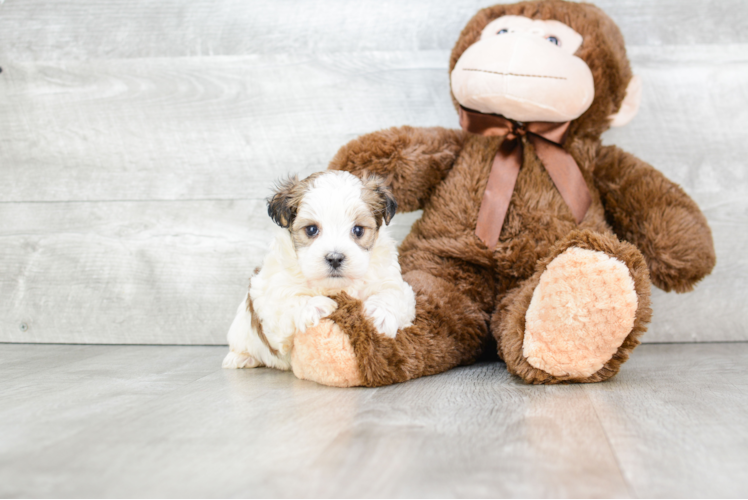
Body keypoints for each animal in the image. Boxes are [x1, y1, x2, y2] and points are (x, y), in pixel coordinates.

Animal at [225, 170, 418, 370]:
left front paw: (380, 314)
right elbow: (286, 300)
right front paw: (315, 305)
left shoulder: (390, 280)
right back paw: (240, 358)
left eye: (358, 230)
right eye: (311, 229)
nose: (335, 258)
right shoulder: (269, 290)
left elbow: (392, 293)